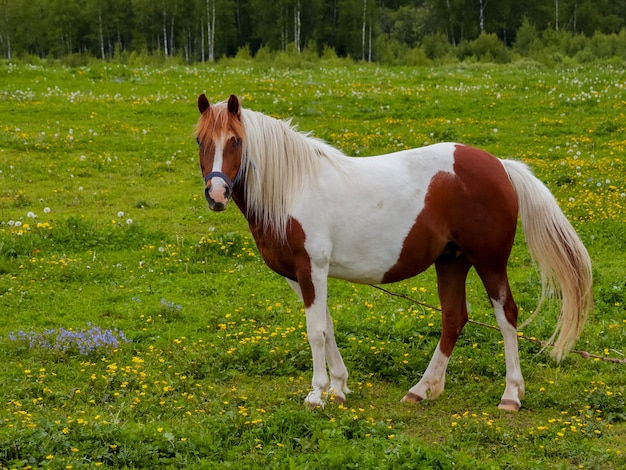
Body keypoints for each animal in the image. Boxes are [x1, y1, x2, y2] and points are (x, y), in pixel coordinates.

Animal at [194, 93, 588, 410]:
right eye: (200, 140)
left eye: (235, 140)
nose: (216, 195)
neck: (294, 187)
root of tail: (501, 166)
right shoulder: (300, 276)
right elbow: (329, 326)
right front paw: (339, 388)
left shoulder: (312, 269)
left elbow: (316, 331)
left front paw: (317, 394)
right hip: (452, 262)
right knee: (454, 318)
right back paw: (422, 389)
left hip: (489, 263)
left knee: (506, 316)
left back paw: (510, 396)